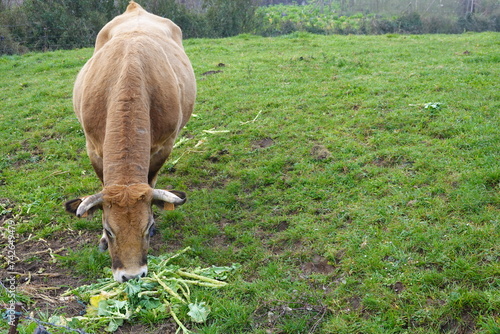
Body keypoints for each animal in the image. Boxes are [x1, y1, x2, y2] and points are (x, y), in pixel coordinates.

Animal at [63, 1, 195, 284]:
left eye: (149, 227)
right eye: (108, 229)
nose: (132, 275)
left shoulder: (164, 145)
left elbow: (151, 179)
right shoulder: (93, 147)